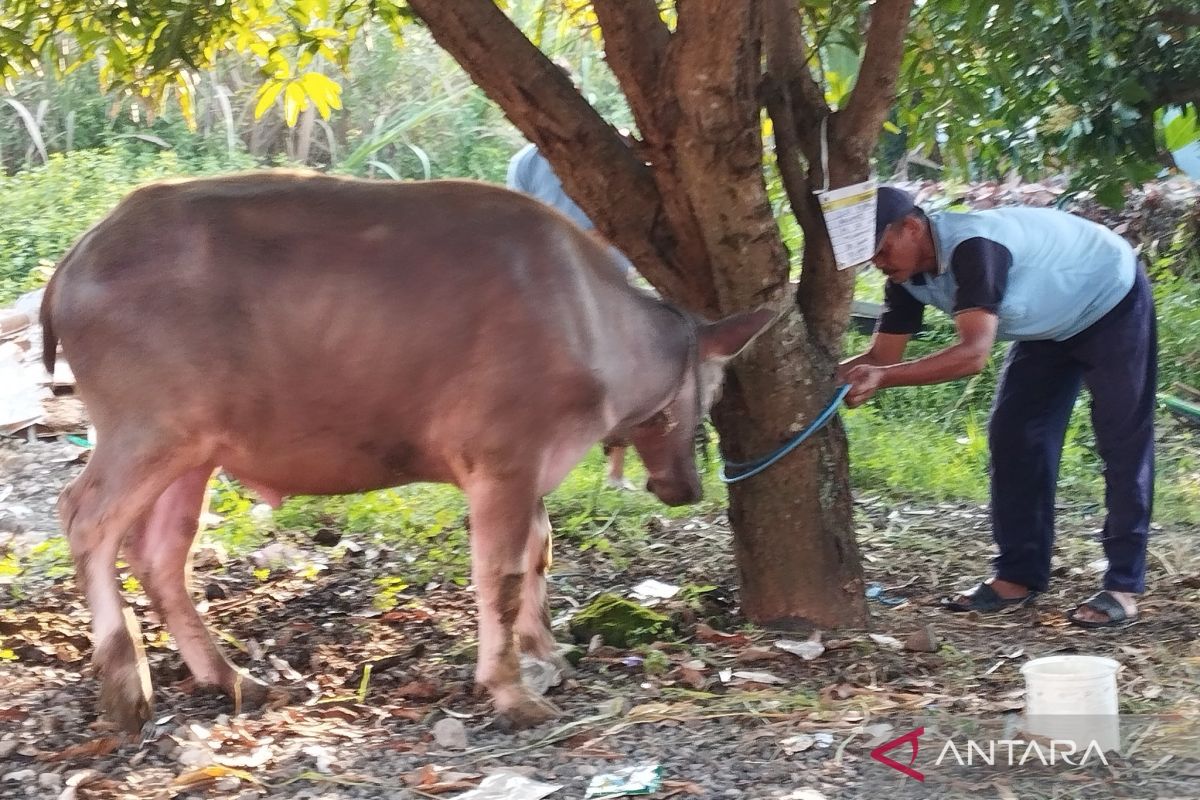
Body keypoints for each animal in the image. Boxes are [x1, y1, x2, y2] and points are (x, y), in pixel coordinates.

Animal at [37, 169, 772, 734]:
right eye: (714, 390)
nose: (684, 487)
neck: (598, 330)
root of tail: (78, 256)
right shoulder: (504, 458)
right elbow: (502, 576)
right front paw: (511, 690)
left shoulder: (530, 468)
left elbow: (540, 550)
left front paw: (548, 656)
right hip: (147, 429)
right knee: (86, 518)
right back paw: (125, 682)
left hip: (195, 449)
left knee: (160, 552)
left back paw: (232, 678)